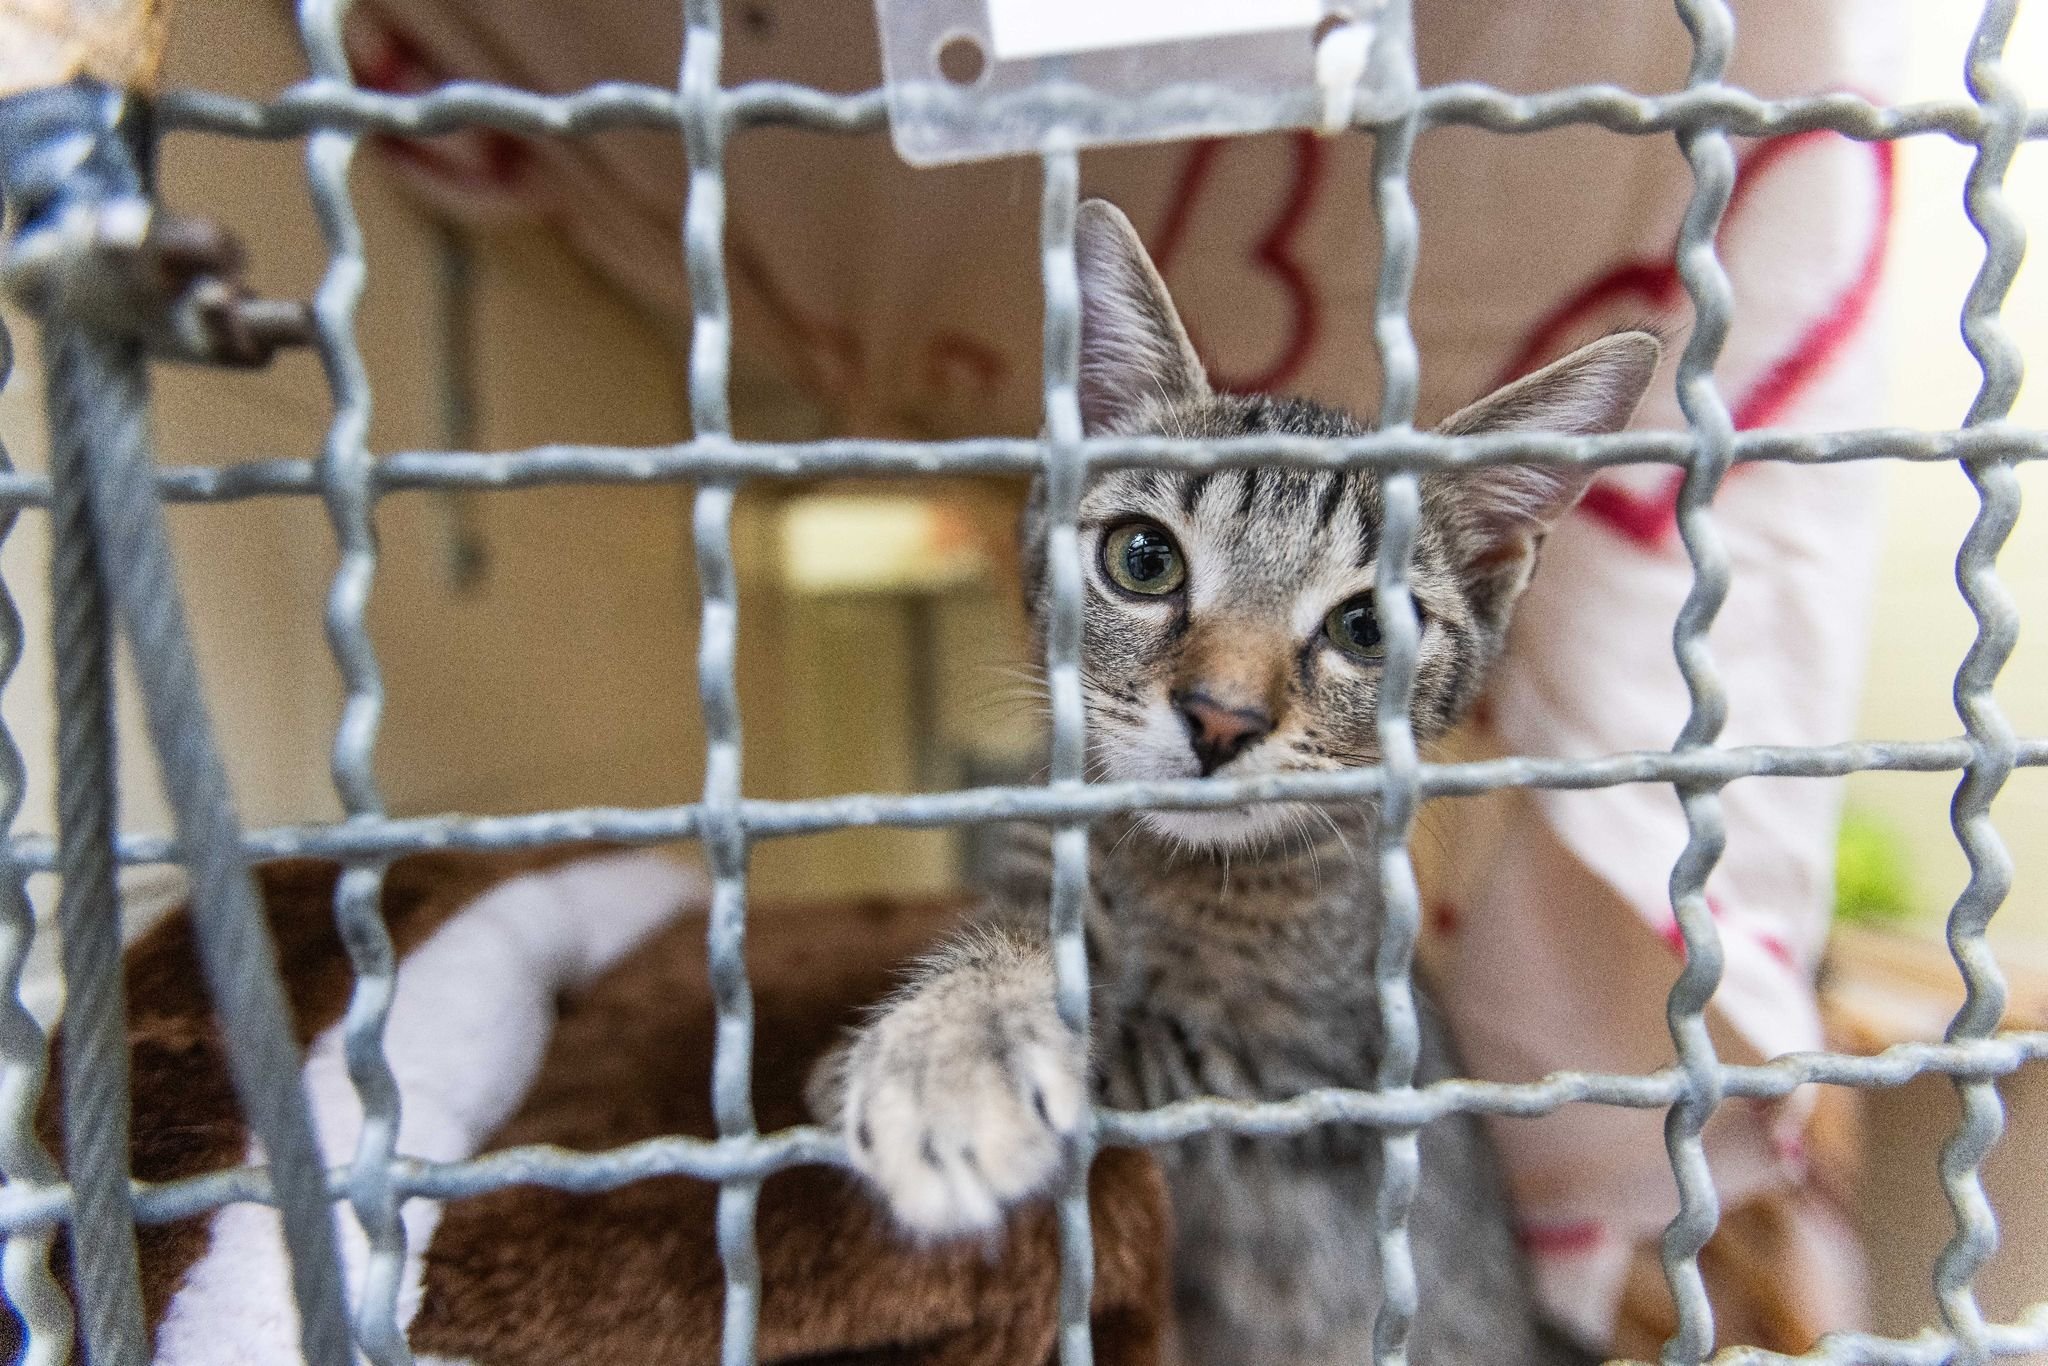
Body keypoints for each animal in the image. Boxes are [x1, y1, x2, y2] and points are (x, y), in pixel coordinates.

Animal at [806, 202, 1654, 1366]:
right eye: (1143, 559)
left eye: (1366, 628)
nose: (1221, 717)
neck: (1167, 867)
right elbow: (1014, 936)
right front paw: (954, 1020)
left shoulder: (1308, 1076)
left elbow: (1129, 1043)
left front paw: (949, 1066)